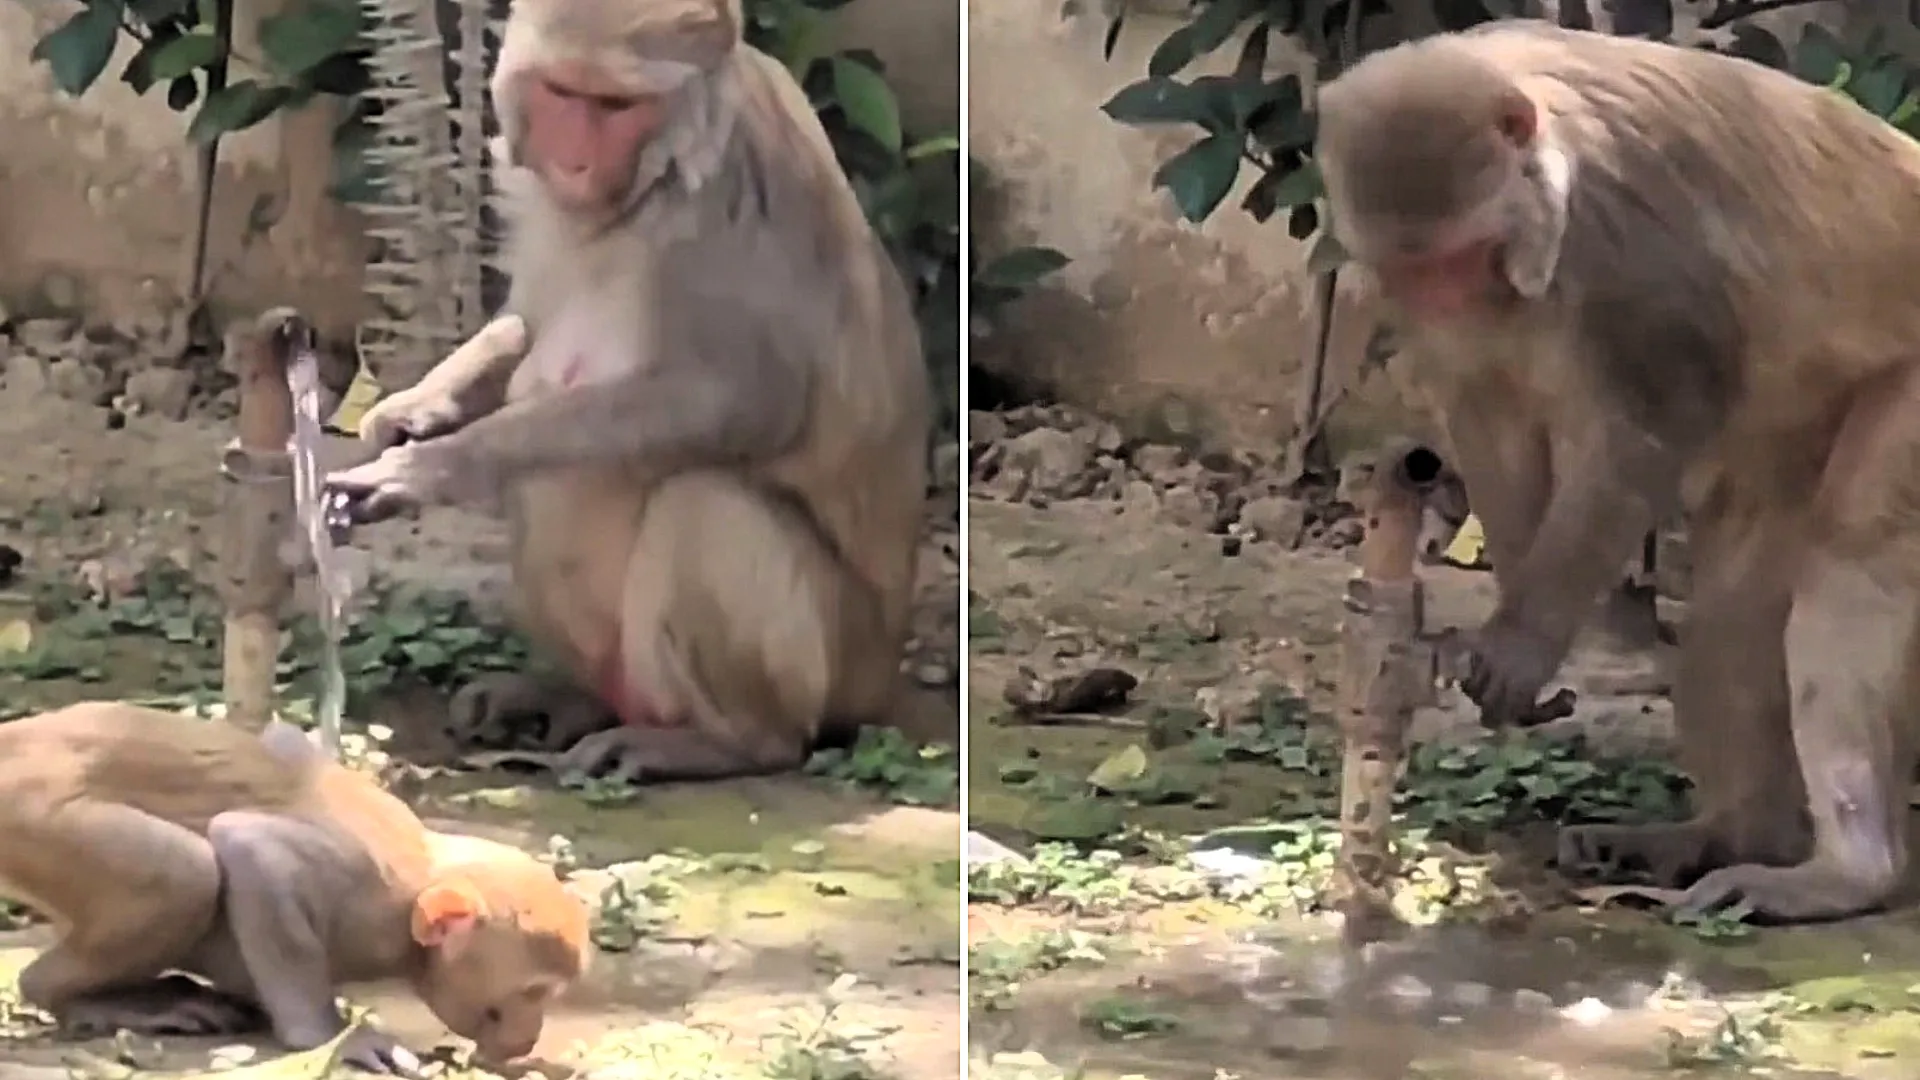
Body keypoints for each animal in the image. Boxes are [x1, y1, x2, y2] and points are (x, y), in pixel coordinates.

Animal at [0, 702, 591, 1072]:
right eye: (533, 992)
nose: (529, 1033)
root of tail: (19, 739)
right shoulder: (368, 894)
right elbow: (249, 847)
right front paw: (332, 1036)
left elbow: (282, 743)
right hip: (33, 814)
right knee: (185, 874)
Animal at [322, 0, 933, 785]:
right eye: (562, 93)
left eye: (615, 107)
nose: (577, 163)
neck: (648, 188)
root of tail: (885, 678)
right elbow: (525, 319)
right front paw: (414, 411)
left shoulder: (733, 201)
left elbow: (741, 400)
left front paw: (437, 466)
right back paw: (570, 699)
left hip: (839, 671)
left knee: (706, 502)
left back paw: (730, 743)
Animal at [1313, 20, 1920, 921]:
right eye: (1417, 273)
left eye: (1460, 259)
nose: (1447, 301)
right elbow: (1489, 413)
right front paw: (1522, 618)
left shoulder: (1622, 243)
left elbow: (1649, 427)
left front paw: (1522, 645)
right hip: (1796, 426)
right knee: (1732, 621)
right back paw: (1727, 838)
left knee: (1851, 567)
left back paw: (1849, 874)